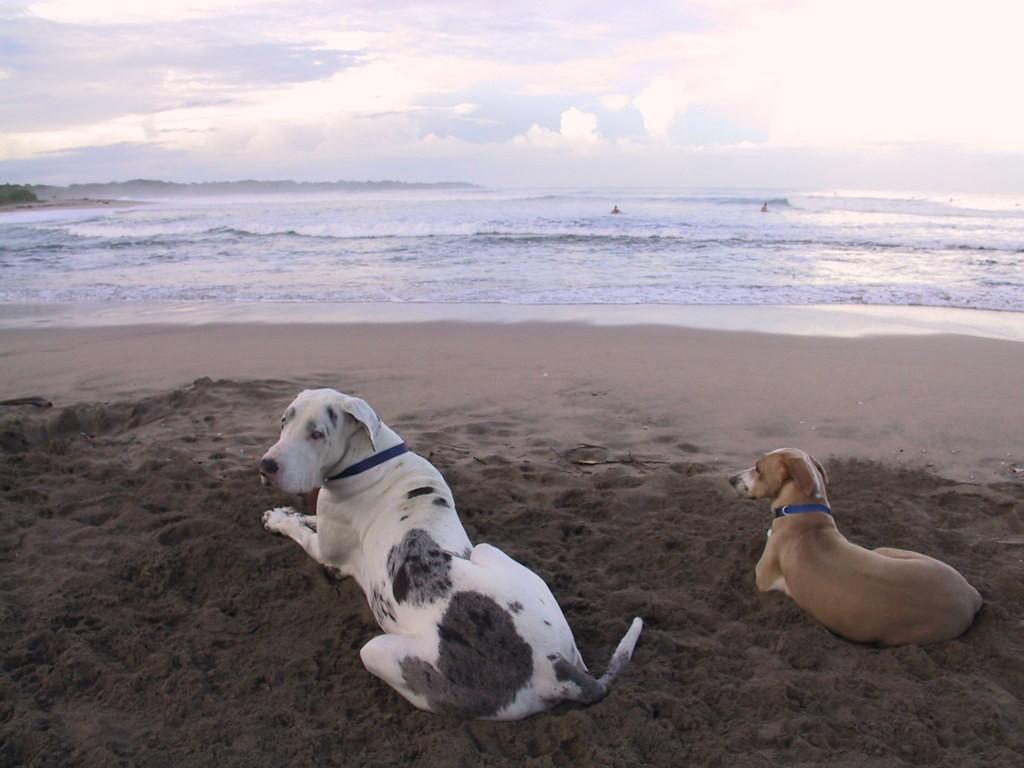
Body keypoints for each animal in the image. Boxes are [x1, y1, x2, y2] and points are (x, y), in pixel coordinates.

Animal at [257, 388, 643, 720]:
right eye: (284, 421)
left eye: (317, 434)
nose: (266, 465)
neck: (370, 459)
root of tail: (556, 667)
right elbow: (307, 518)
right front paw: (287, 512)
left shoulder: (326, 552)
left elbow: (301, 532)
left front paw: (279, 520)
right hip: (495, 559)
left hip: (382, 652)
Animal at [729, 448, 982, 646]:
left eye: (758, 468)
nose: (731, 478)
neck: (805, 512)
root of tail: (970, 597)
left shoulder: (762, 578)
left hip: (884, 551)